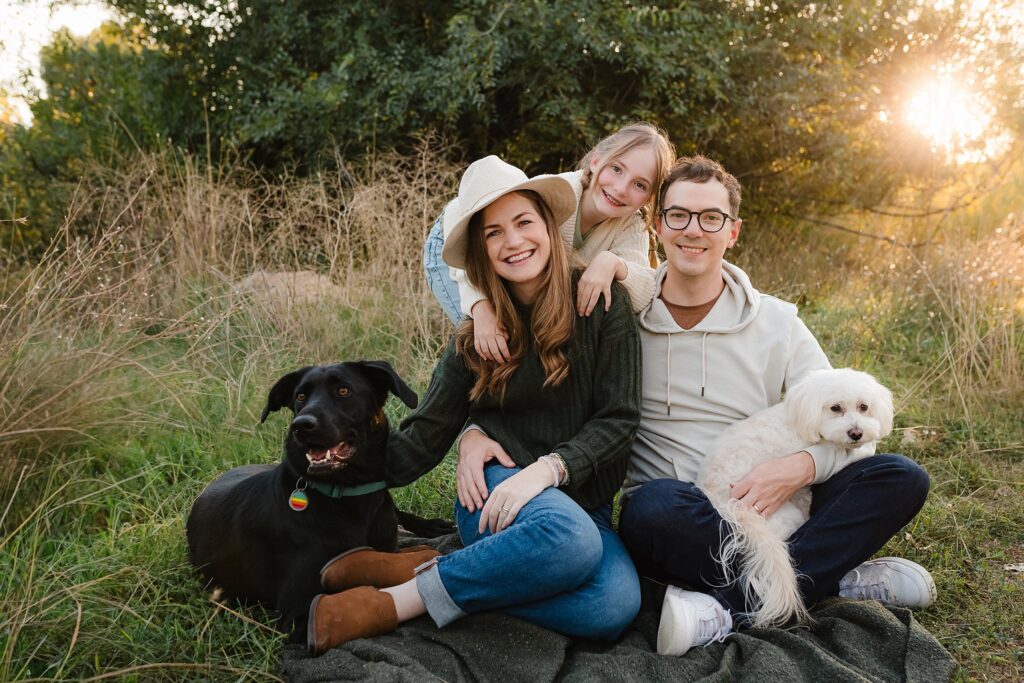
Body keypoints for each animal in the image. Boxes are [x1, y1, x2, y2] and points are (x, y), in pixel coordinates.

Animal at [189, 362, 452, 643]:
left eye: (343, 390)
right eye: (300, 396)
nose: (301, 425)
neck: (349, 496)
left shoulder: (387, 544)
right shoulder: (296, 613)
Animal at [700, 368, 892, 630]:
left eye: (864, 407)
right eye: (835, 408)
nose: (856, 433)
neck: (799, 417)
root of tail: (733, 507)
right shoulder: (797, 485)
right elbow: (804, 497)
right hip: (785, 517)